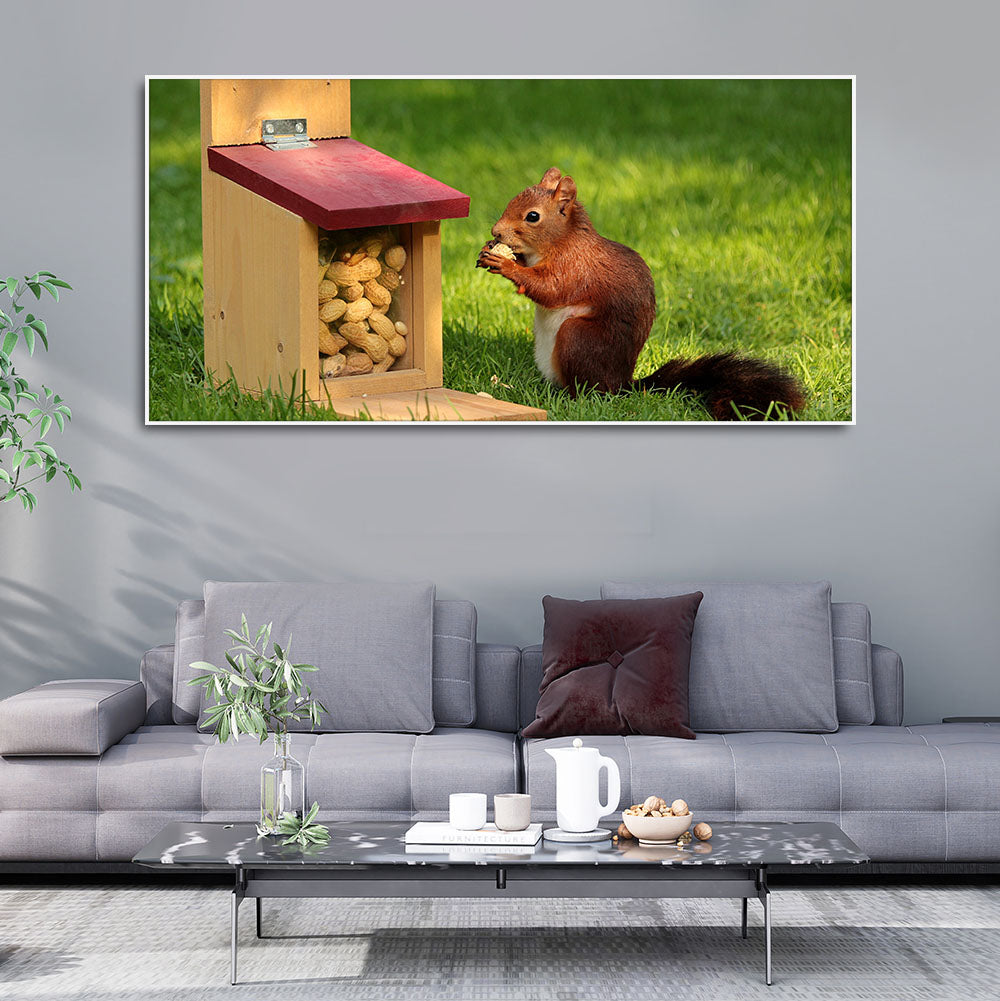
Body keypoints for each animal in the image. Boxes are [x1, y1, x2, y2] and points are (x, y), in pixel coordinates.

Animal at [476, 167, 806, 419]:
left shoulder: (576, 267)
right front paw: (493, 252)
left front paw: (505, 264)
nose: (495, 232)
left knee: (589, 390)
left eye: (532, 217)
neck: (560, 241)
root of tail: (622, 384)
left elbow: (550, 289)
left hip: (577, 338)